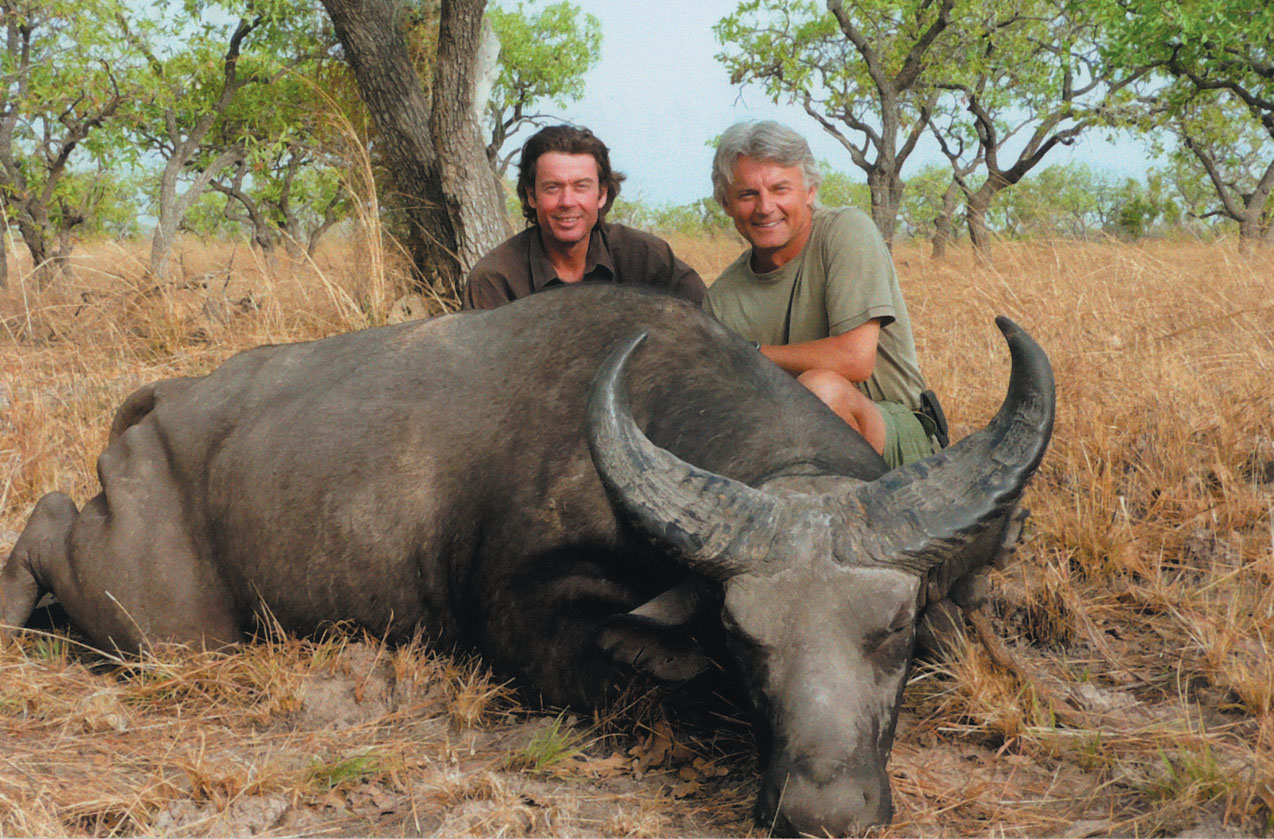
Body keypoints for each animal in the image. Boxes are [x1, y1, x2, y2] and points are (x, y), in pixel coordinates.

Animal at [1, 285, 1054, 835]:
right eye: (741, 637)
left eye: (895, 631)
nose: (821, 810)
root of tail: (165, 403)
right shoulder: (533, 625)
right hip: (158, 622)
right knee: (47, 517)